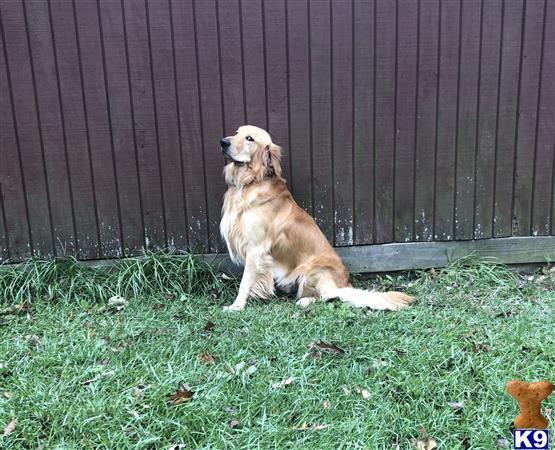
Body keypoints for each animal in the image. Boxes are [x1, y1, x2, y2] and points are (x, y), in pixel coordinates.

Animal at [219, 125, 414, 312]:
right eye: (236, 132)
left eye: (249, 138)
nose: (223, 142)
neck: (249, 182)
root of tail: (345, 285)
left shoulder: (255, 249)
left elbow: (245, 283)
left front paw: (236, 306)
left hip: (312, 270)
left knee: (328, 295)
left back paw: (304, 301)